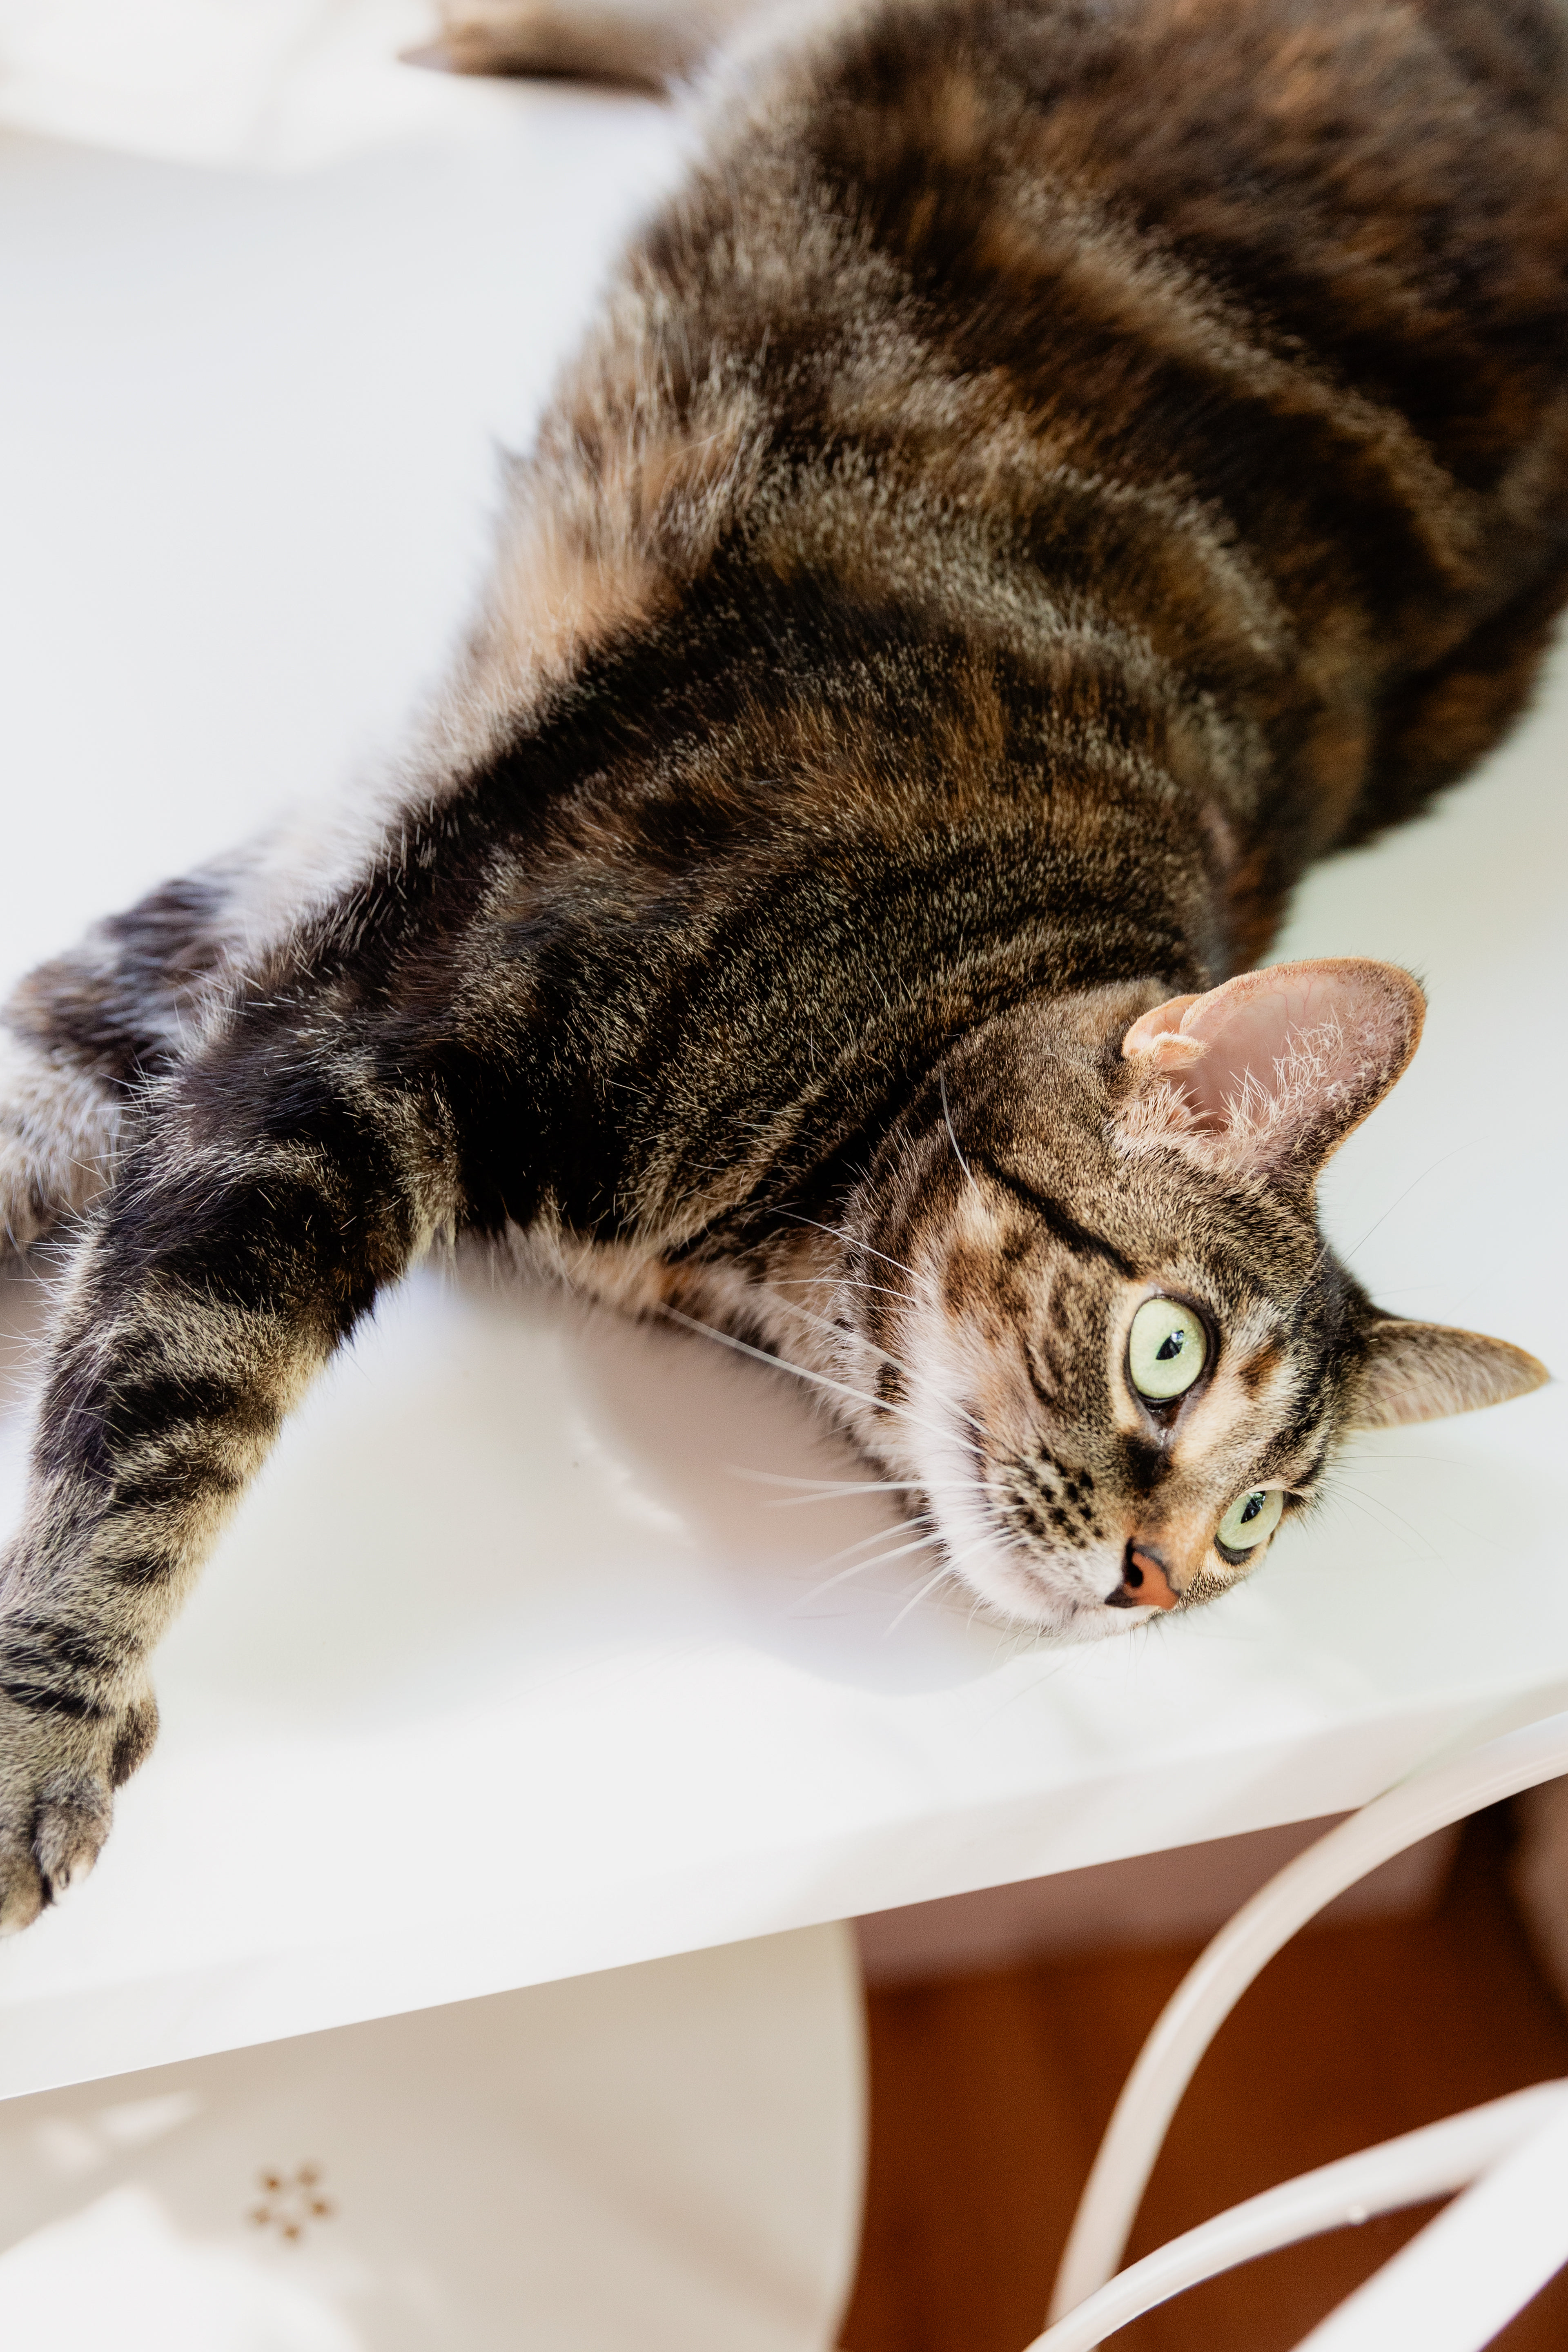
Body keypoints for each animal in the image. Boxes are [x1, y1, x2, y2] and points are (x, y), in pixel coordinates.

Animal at [0, 0, 1561, 1929]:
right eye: (1169, 1357)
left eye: (1256, 1530)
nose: (1154, 1579)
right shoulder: (352, 1031)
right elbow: (169, 1412)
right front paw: (40, 1725)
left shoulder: (273, 943)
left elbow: (64, 1168)